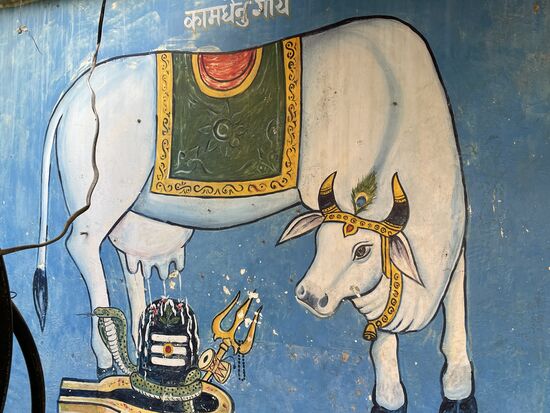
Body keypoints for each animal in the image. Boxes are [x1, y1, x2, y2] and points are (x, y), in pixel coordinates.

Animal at [34, 17, 475, 412]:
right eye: (322, 243)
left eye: (362, 250)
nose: (309, 296)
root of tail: (73, 96)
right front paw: (391, 395)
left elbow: (455, 282)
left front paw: (457, 386)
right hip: (103, 192)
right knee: (83, 244)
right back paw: (104, 355)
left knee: (130, 266)